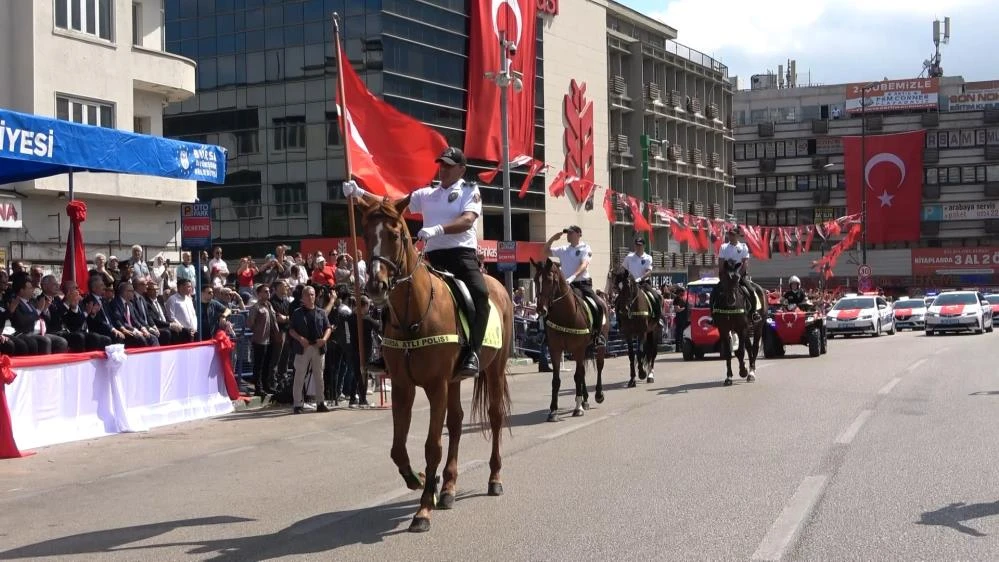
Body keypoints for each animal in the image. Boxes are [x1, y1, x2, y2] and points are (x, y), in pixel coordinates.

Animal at [360, 196, 516, 528]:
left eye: (395, 235)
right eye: (366, 235)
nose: (376, 286)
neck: (414, 313)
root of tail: (498, 285)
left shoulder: (435, 386)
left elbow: (432, 446)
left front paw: (423, 509)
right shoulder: (403, 387)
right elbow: (397, 449)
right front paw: (420, 481)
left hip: (493, 370)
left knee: (495, 417)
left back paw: (494, 478)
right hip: (454, 381)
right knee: (456, 423)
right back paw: (448, 488)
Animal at [532, 258, 608, 420]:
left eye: (550, 280)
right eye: (535, 280)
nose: (541, 309)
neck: (565, 315)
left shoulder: (578, 349)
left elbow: (577, 376)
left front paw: (578, 408)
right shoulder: (556, 350)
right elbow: (556, 380)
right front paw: (553, 411)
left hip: (599, 346)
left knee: (599, 366)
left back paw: (598, 395)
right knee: (583, 371)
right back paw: (585, 400)